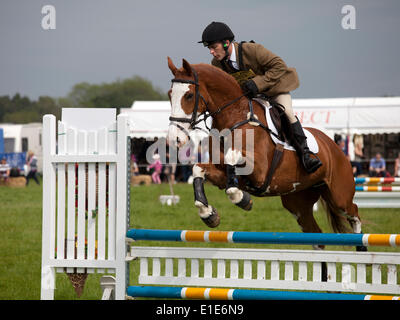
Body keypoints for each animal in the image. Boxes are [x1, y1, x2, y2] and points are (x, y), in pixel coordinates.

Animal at [167, 57, 364, 248]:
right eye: (170, 94)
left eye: (189, 95)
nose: (174, 138)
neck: (235, 117)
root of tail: (334, 146)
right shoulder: (221, 173)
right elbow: (198, 170)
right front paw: (208, 213)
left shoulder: (260, 171)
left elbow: (232, 160)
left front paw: (242, 199)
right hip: (298, 203)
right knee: (315, 234)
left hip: (339, 196)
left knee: (354, 212)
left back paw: (361, 247)